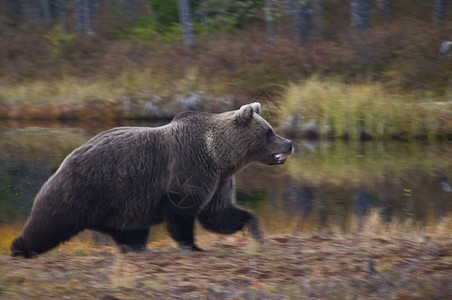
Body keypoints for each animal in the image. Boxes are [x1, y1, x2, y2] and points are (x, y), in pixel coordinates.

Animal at [11, 102, 294, 256]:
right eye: (269, 132)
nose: (289, 143)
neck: (219, 156)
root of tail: (66, 159)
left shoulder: (219, 182)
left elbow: (219, 214)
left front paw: (256, 232)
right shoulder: (189, 171)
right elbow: (182, 215)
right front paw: (193, 246)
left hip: (124, 208)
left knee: (130, 233)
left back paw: (135, 248)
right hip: (86, 190)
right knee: (50, 224)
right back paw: (19, 248)